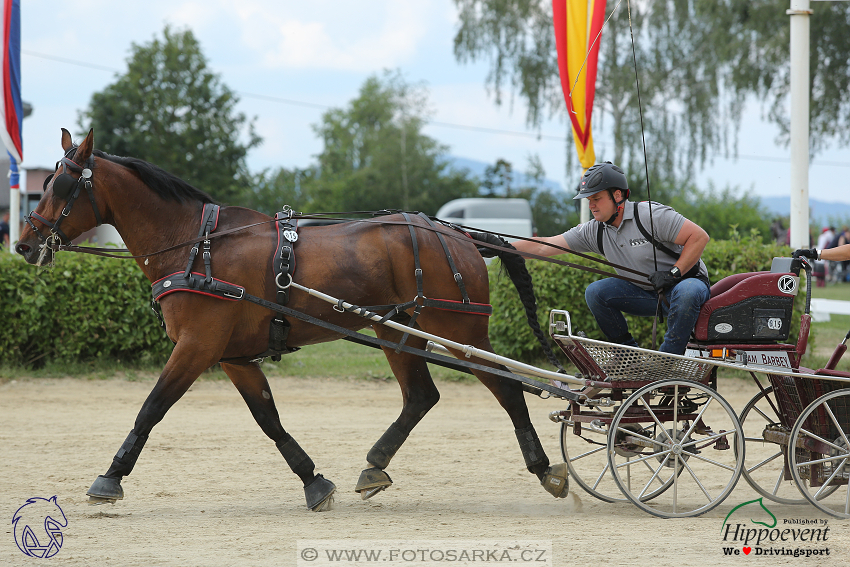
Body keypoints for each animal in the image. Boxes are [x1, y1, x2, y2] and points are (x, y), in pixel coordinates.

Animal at [13, 129, 568, 510]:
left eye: (63, 184)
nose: (23, 244)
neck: (198, 246)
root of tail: (456, 234)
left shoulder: (196, 345)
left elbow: (151, 408)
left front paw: (110, 477)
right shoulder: (233, 356)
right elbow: (268, 419)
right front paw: (312, 480)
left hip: (457, 330)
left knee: (507, 387)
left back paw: (545, 469)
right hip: (396, 329)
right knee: (421, 396)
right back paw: (375, 466)